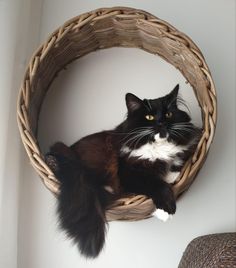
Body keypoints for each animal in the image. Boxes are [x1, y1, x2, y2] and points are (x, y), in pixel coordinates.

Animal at [45, 85, 200, 258]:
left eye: (168, 114)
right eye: (149, 117)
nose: (161, 123)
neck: (159, 150)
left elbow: (173, 170)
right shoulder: (129, 174)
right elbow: (158, 185)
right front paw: (165, 211)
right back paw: (52, 162)